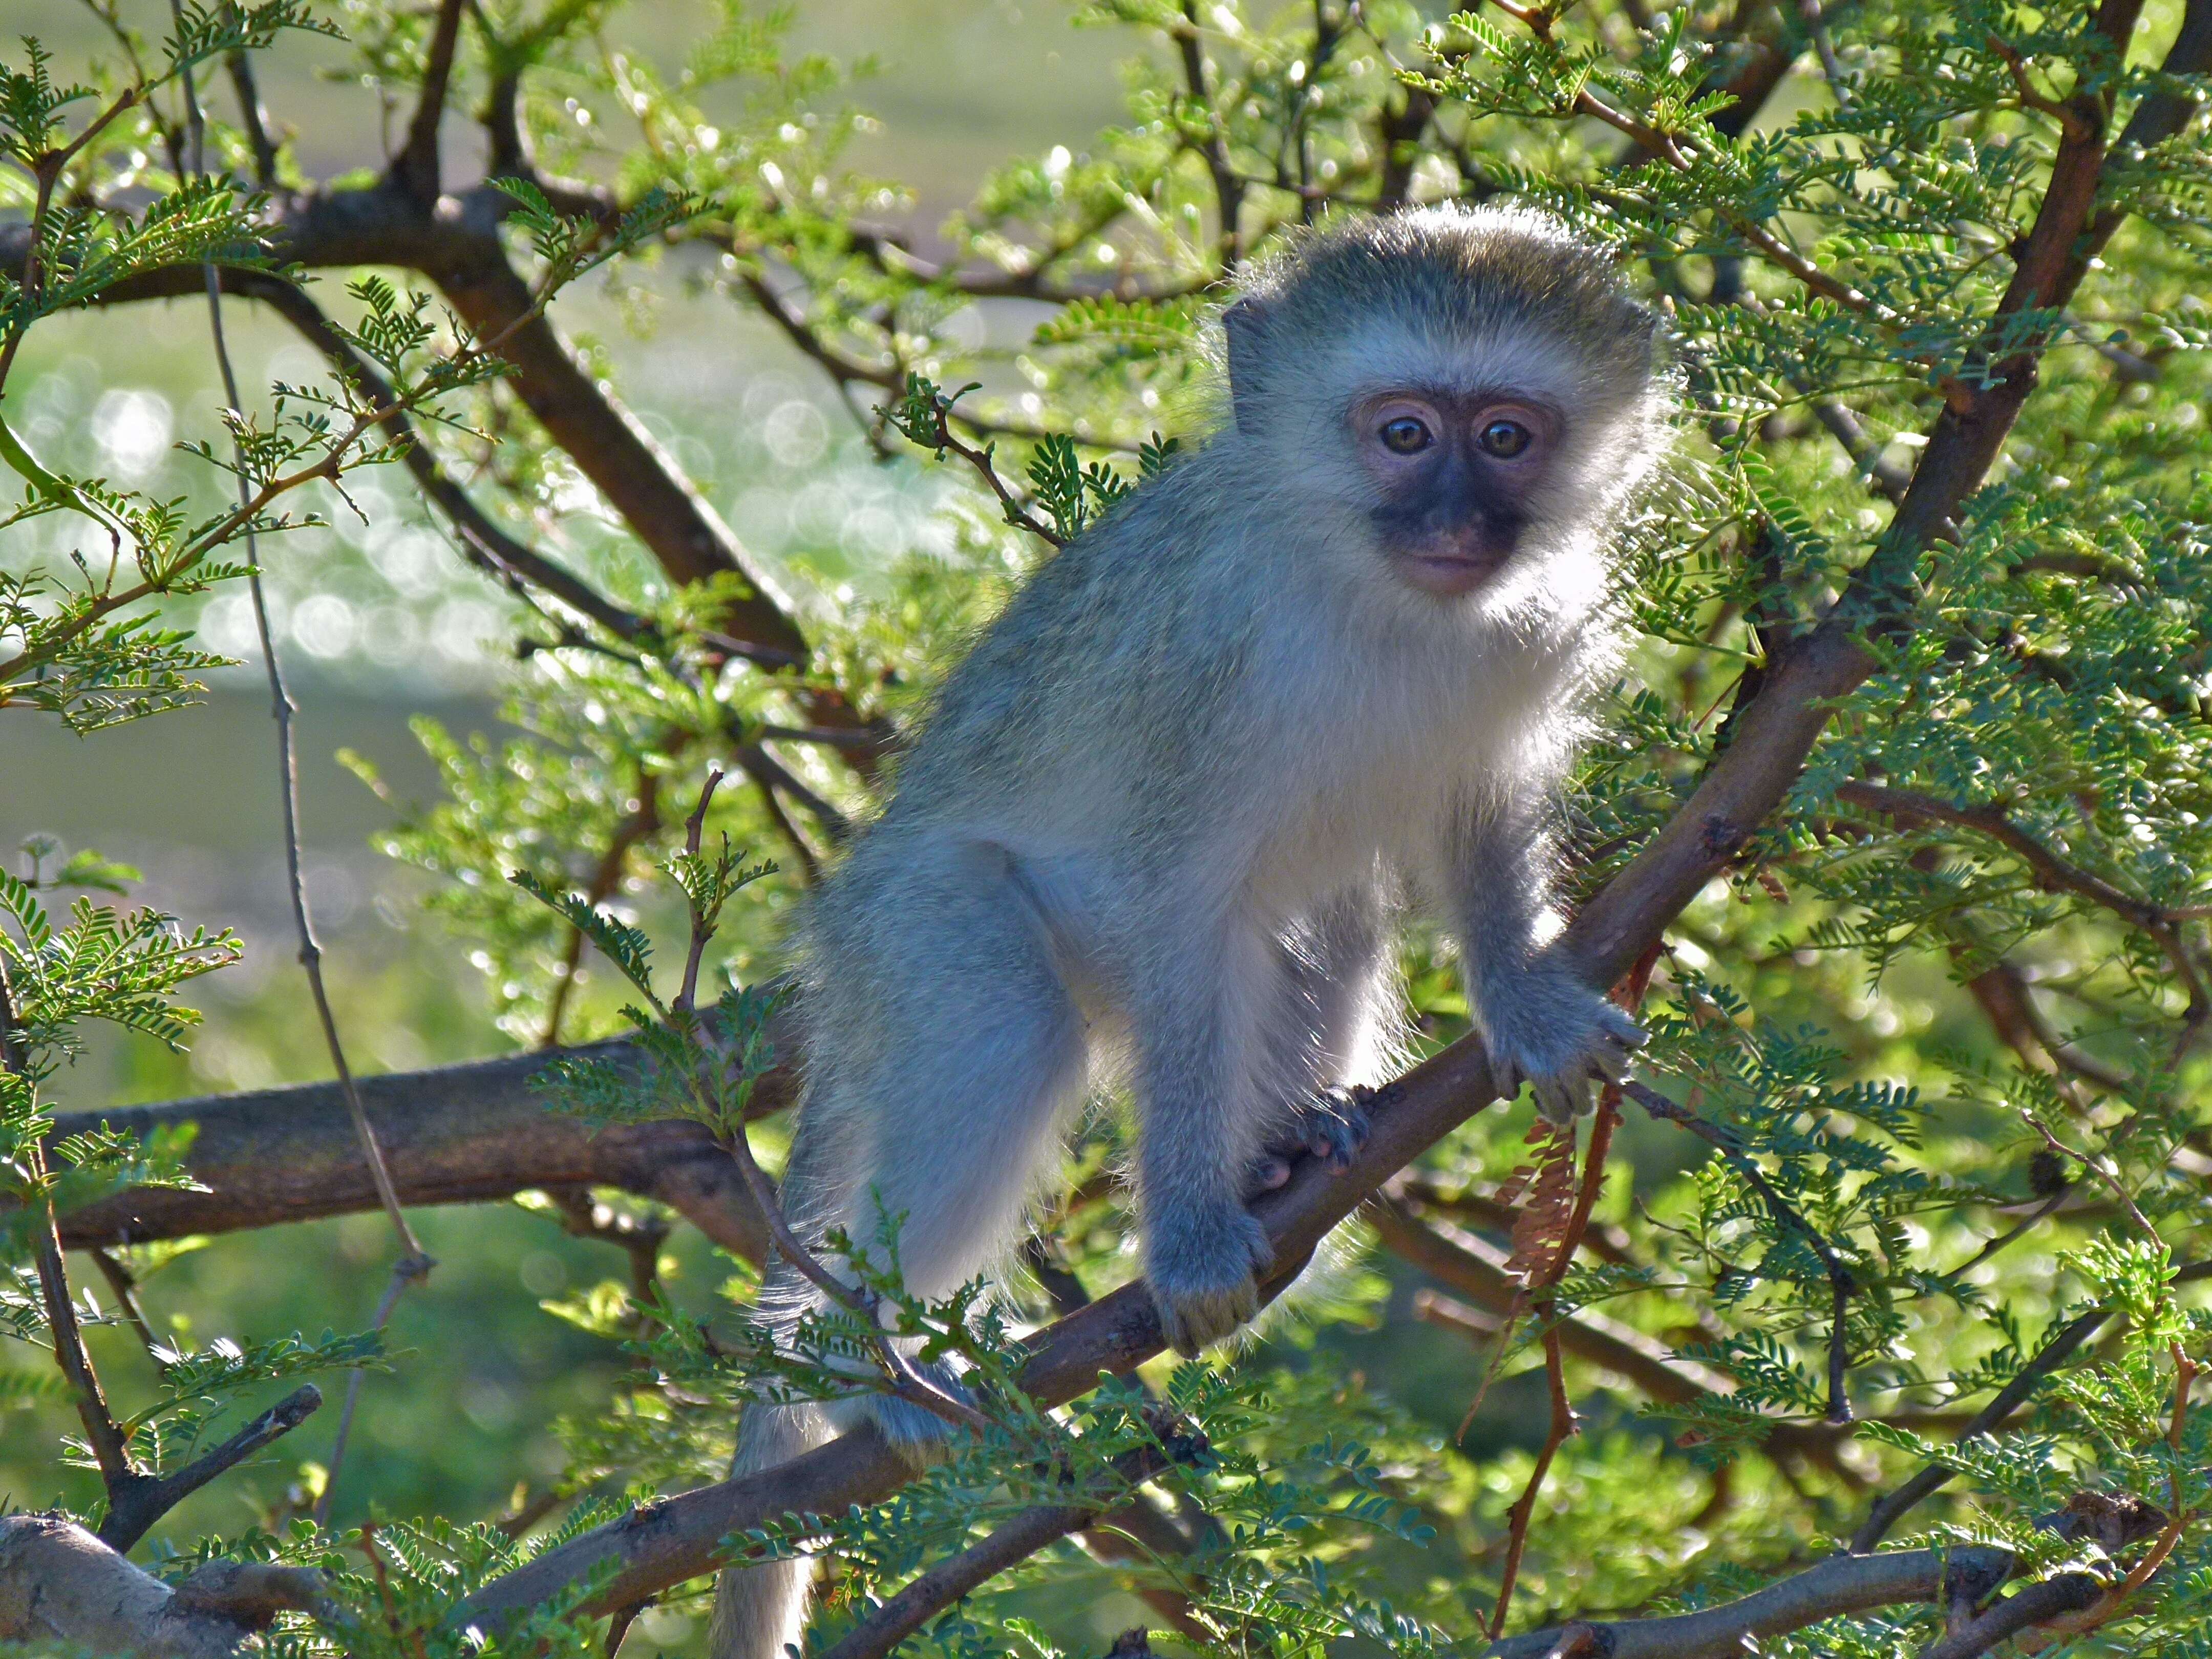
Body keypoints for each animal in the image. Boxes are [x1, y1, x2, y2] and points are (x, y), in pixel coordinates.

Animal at [716, 201, 1663, 1654]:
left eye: (1506, 436)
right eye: (1404, 433)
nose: (1456, 521)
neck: (1371, 593)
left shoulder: (1527, 643)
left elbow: (1476, 819)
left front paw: (1526, 1004)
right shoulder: (1200, 670)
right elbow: (1175, 915)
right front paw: (1189, 1232)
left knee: (1329, 908)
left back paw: (1287, 1145)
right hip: (919, 922)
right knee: (1009, 1020)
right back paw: (869, 1363)